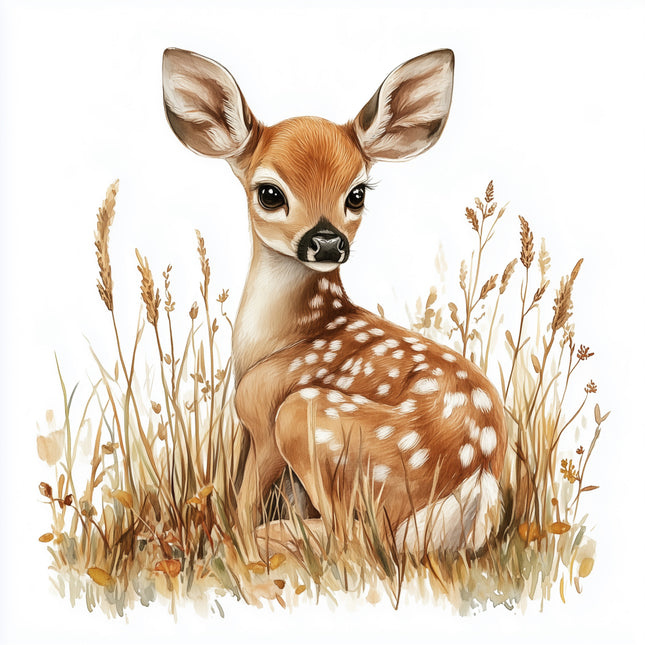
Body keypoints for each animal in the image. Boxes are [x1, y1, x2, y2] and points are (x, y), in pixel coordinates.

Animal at [162, 47, 506, 554]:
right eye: (269, 193)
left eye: (357, 194)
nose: (326, 242)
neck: (285, 339)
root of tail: (476, 486)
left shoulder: (266, 421)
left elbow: (243, 508)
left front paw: (233, 544)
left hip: (314, 419)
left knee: (356, 540)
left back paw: (276, 537)